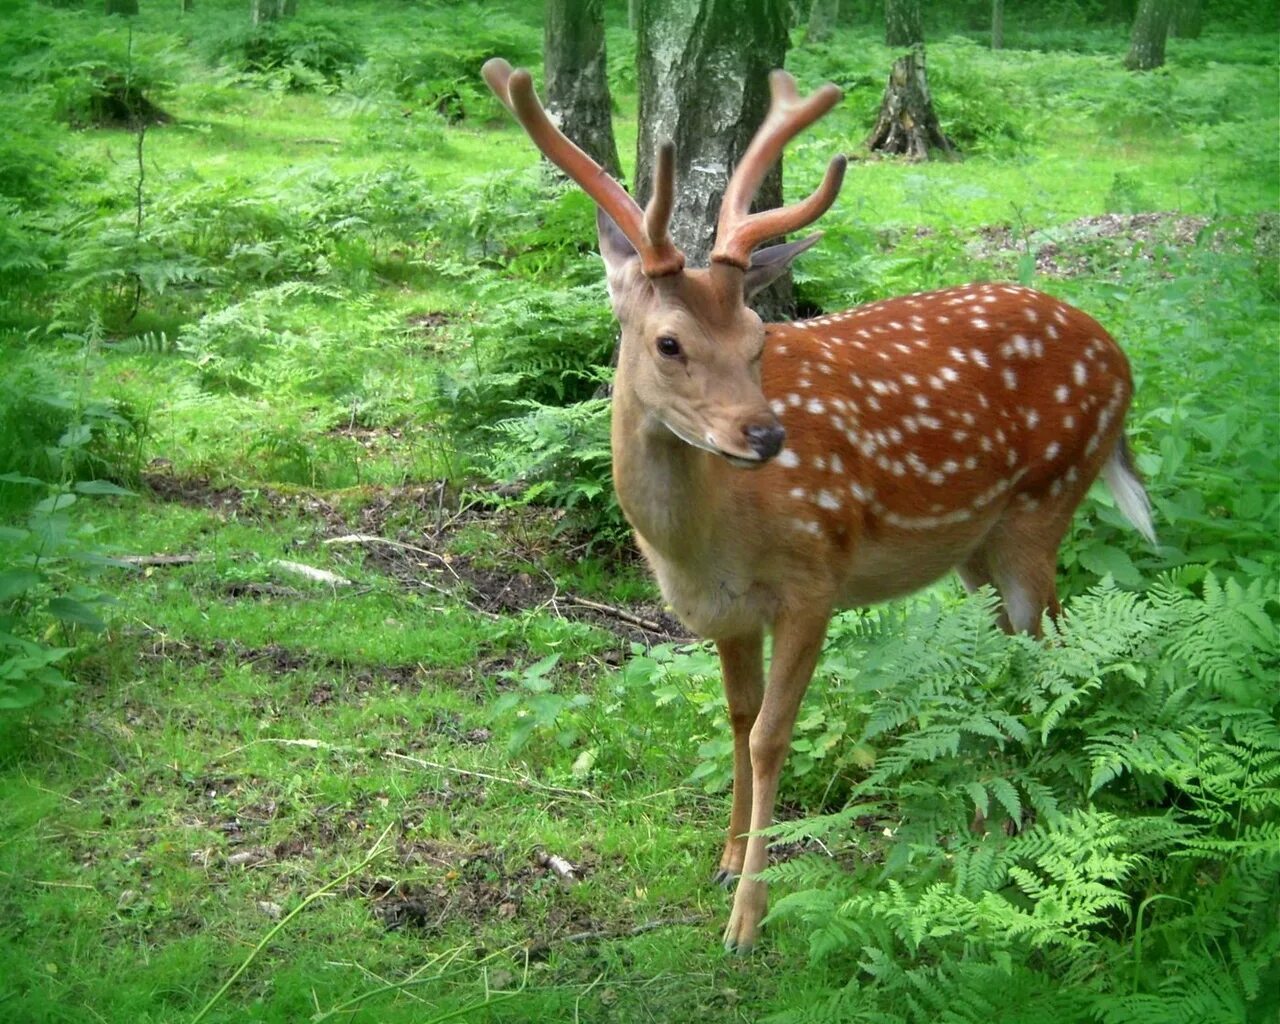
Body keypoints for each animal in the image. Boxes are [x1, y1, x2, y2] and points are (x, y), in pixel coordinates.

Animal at [481, 57, 1162, 952]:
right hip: (977, 546)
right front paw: (725, 858)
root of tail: (1122, 361)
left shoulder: (814, 579)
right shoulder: (726, 613)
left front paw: (747, 917)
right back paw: (986, 814)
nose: (767, 434)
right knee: (1011, 648)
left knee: (1055, 645)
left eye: (758, 339)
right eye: (669, 342)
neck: (701, 545)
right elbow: (736, 720)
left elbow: (774, 735)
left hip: (1046, 498)